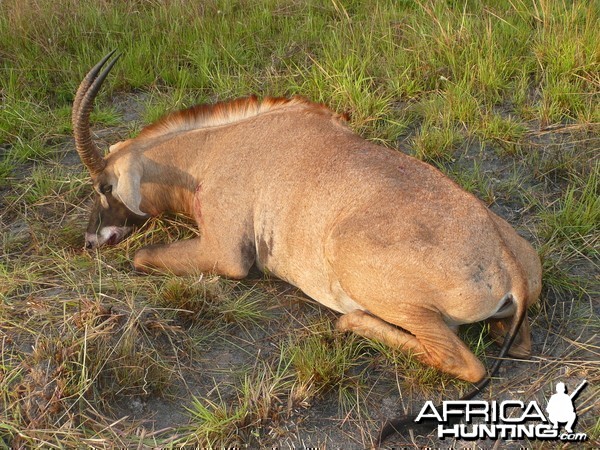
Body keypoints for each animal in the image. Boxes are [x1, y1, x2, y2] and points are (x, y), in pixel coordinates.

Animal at [72, 51, 540, 442]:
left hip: (373, 282)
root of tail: (509, 264)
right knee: (514, 344)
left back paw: (350, 322)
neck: (211, 152)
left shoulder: (225, 254)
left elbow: (142, 257)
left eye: (104, 186)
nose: (90, 240)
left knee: (462, 361)